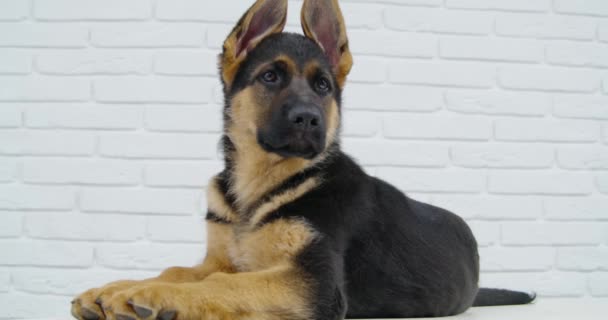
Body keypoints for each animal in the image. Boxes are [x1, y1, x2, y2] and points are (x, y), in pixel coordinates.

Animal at [72, 0, 536, 320]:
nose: (309, 119)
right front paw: (113, 289)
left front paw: (152, 296)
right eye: (270, 76)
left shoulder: (316, 283)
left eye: (323, 86)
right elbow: (177, 269)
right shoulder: (217, 258)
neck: (257, 186)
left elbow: (225, 283)